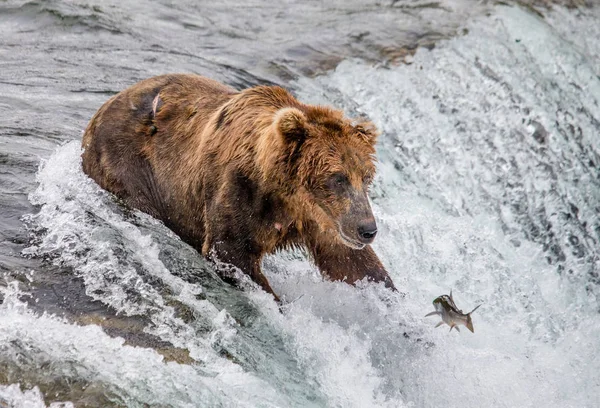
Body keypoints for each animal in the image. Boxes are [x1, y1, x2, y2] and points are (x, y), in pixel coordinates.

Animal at [82, 75, 396, 302]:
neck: (283, 192)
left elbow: (351, 263)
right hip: (129, 167)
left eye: (366, 176)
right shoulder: (239, 190)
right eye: (338, 178)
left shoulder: (320, 218)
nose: (368, 229)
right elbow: (230, 252)